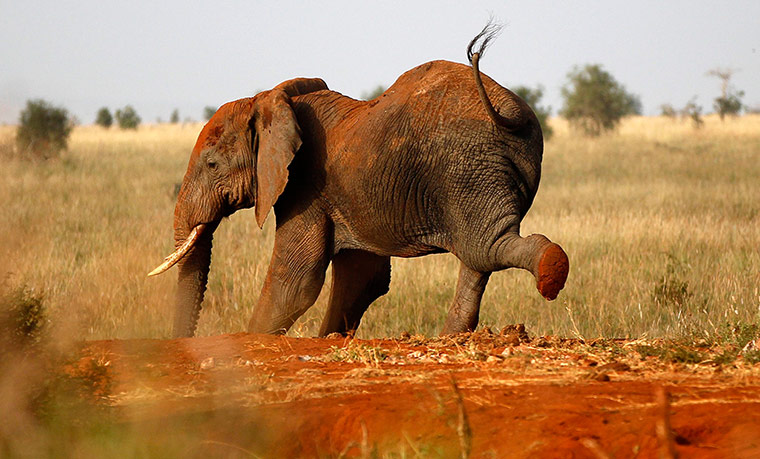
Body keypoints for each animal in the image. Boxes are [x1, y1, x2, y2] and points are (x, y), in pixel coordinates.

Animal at [149, 25, 569, 338]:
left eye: (212, 164)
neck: (269, 100)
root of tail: (509, 110)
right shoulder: (344, 195)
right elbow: (361, 277)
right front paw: (329, 339)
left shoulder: (306, 185)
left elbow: (295, 282)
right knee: (478, 255)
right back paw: (451, 337)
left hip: (467, 167)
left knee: (485, 248)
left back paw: (551, 271)